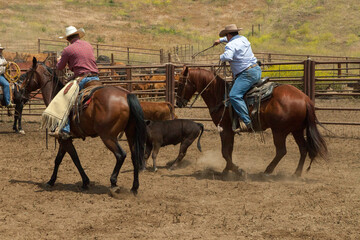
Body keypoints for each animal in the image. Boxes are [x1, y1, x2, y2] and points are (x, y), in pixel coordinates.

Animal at [21, 58, 146, 195]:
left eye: (28, 73)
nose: (21, 90)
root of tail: (126, 95)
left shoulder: (64, 139)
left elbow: (74, 158)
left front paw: (84, 182)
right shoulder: (64, 138)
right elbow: (59, 159)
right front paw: (52, 181)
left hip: (108, 136)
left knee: (121, 155)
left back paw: (113, 183)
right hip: (131, 133)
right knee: (135, 156)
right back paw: (134, 188)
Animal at [176, 66, 328, 177]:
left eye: (180, 84)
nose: (178, 103)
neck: (220, 95)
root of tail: (305, 99)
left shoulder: (224, 129)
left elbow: (224, 152)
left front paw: (238, 170)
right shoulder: (230, 130)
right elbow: (229, 150)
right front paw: (227, 170)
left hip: (279, 131)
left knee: (281, 151)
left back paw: (267, 171)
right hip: (296, 130)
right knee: (303, 149)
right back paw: (296, 173)